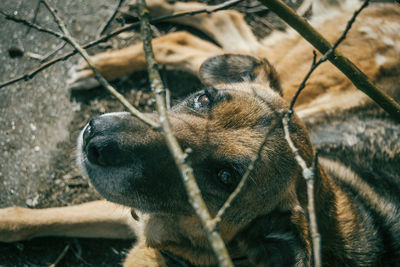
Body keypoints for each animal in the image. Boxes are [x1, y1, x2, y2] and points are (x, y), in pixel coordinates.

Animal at [0, 0, 400, 266]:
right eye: (203, 99)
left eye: (225, 177)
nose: (96, 137)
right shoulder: (130, 213)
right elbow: (30, 218)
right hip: (297, 70)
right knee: (214, 27)